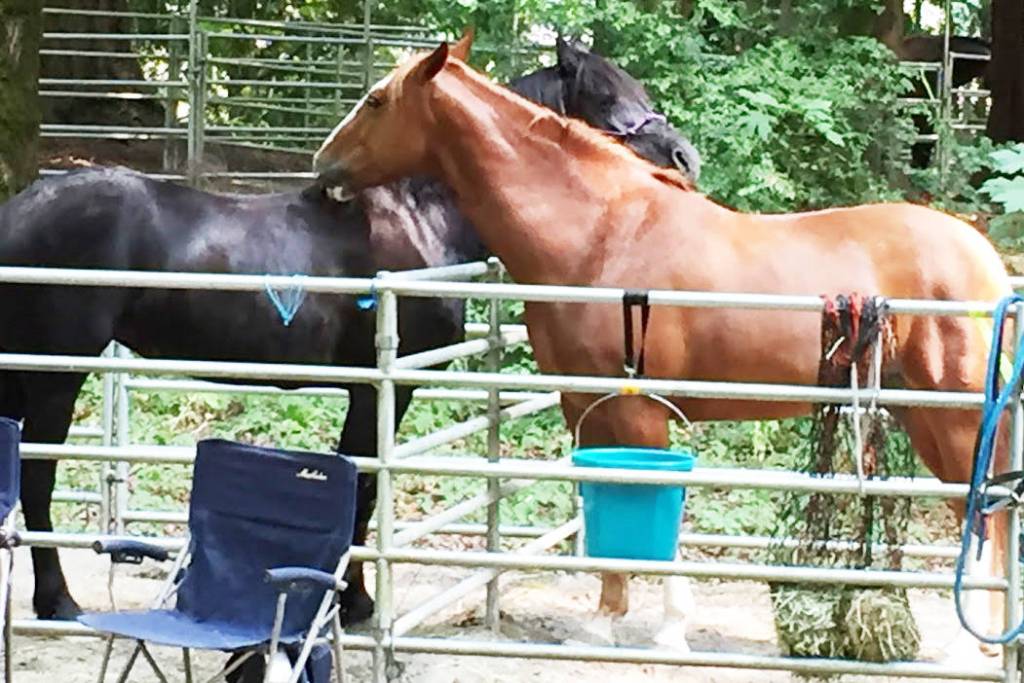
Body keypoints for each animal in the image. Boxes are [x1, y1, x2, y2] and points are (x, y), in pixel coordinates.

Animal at [0, 32, 700, 624]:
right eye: (606, 94)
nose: (684, 158)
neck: (421, 215)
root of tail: (23, 207)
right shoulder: (381, 387)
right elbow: (363, 486)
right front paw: (356, 602)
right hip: (54, 375)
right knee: (36, 477)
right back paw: (57, 600)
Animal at [312, 42, 1013, 656]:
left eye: (376, 100)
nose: (323, 166)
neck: (601, 234)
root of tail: (986, 264)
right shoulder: (585, 406)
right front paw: (603, 622)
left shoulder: (640, 409)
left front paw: (665, 629)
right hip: (922, 415)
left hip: (953, 416)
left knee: (987, 513)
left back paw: (967, 647)